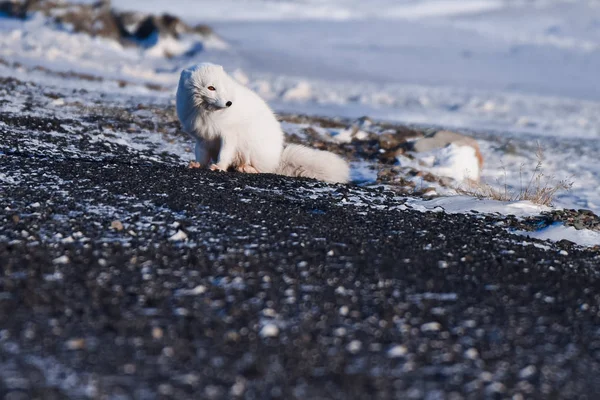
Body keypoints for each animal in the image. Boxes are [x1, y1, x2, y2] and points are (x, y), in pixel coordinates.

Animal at [176, 63, 350, 184]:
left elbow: (224, 153)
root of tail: (278, 158)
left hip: (252, 148)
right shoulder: (202, 138)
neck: (205, 113)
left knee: (264, 169)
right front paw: (197, 165)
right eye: (211, 87)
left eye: (225, 88)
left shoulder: (229, 135)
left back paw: (246, 168)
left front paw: (218, 167)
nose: (229, 103)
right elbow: (201, 155)